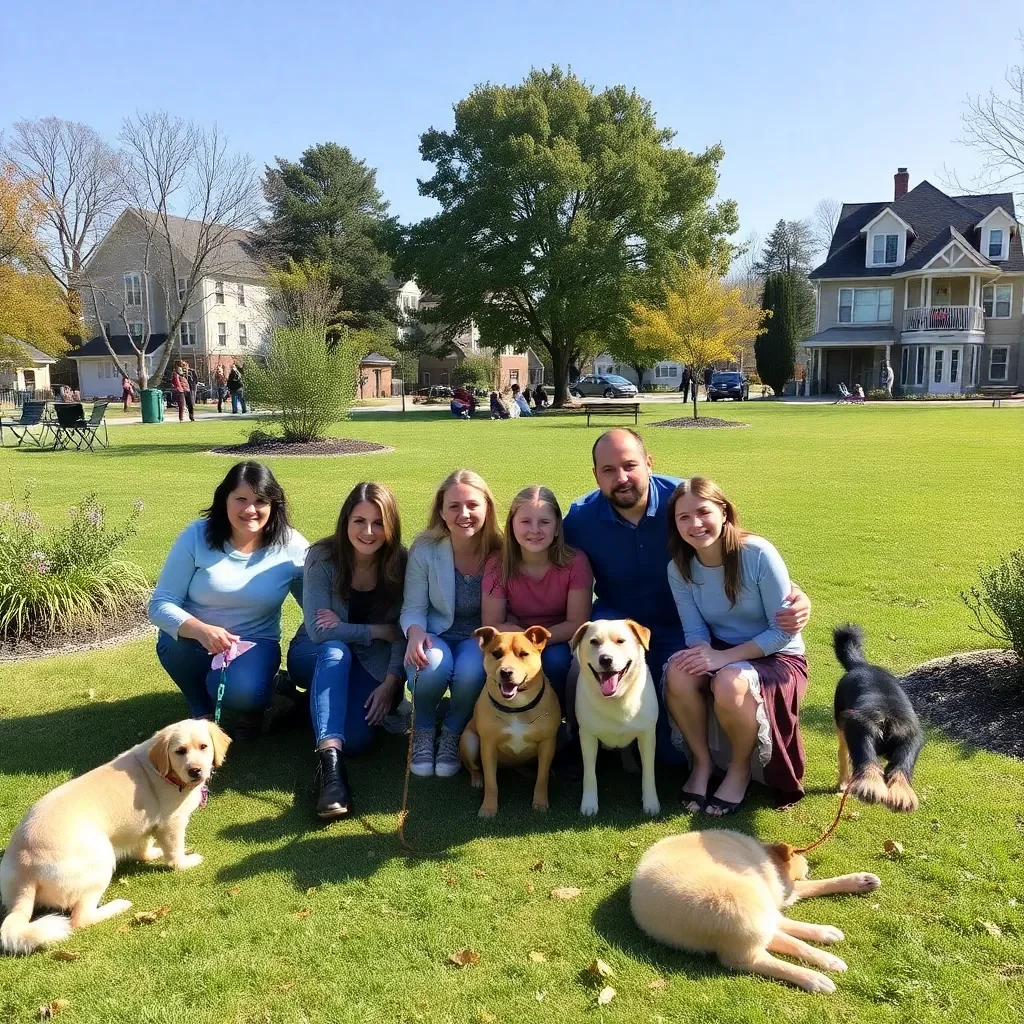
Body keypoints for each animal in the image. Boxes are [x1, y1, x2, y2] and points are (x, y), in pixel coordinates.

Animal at [1, 720, 230, 950]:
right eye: (180, 751)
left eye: (203, 746)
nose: (195, 771)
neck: (163, 771)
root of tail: (26, 871)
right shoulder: (172, 823)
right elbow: (175, 854)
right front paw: (186, 862)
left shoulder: (147, 825)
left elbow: (143, 845)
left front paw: (152, 854)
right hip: (102, 857)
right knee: (81, 918)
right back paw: (117, 906)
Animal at [462, 622, 565, 815]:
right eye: (496, 653)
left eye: (523, 654)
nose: (506, 672)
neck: (516, 707)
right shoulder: (488, 746)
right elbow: (491, 782)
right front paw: (488, 807)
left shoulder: (548, 743)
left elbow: (542, 777)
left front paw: (540, 801)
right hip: (469, 740)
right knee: (474, 768)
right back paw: (477, 779)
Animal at [573, 614, 659, 815]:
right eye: (594, 642)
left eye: (621, 641)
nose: (606, 659)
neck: (616, 697)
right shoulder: (587, 736)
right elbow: (590, 773)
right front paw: (589, 803)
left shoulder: (647, 735)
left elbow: (649, 772)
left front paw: (651, 802)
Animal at [630, 831, 880, 991]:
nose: (807, 863)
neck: (765, 855)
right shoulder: (778, 888)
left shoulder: (780, 890)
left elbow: (815, 886)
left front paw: (861, 881)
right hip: (752, 911)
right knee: (760, 957)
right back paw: (816, 977)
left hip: (757, 913)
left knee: (780, 935)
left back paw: (825, 938)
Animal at [835, 618, 925, 811]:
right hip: (909, 736)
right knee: (899, 765)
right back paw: (899, 794)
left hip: (853, 725)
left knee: (858, 756)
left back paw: (866, 787)